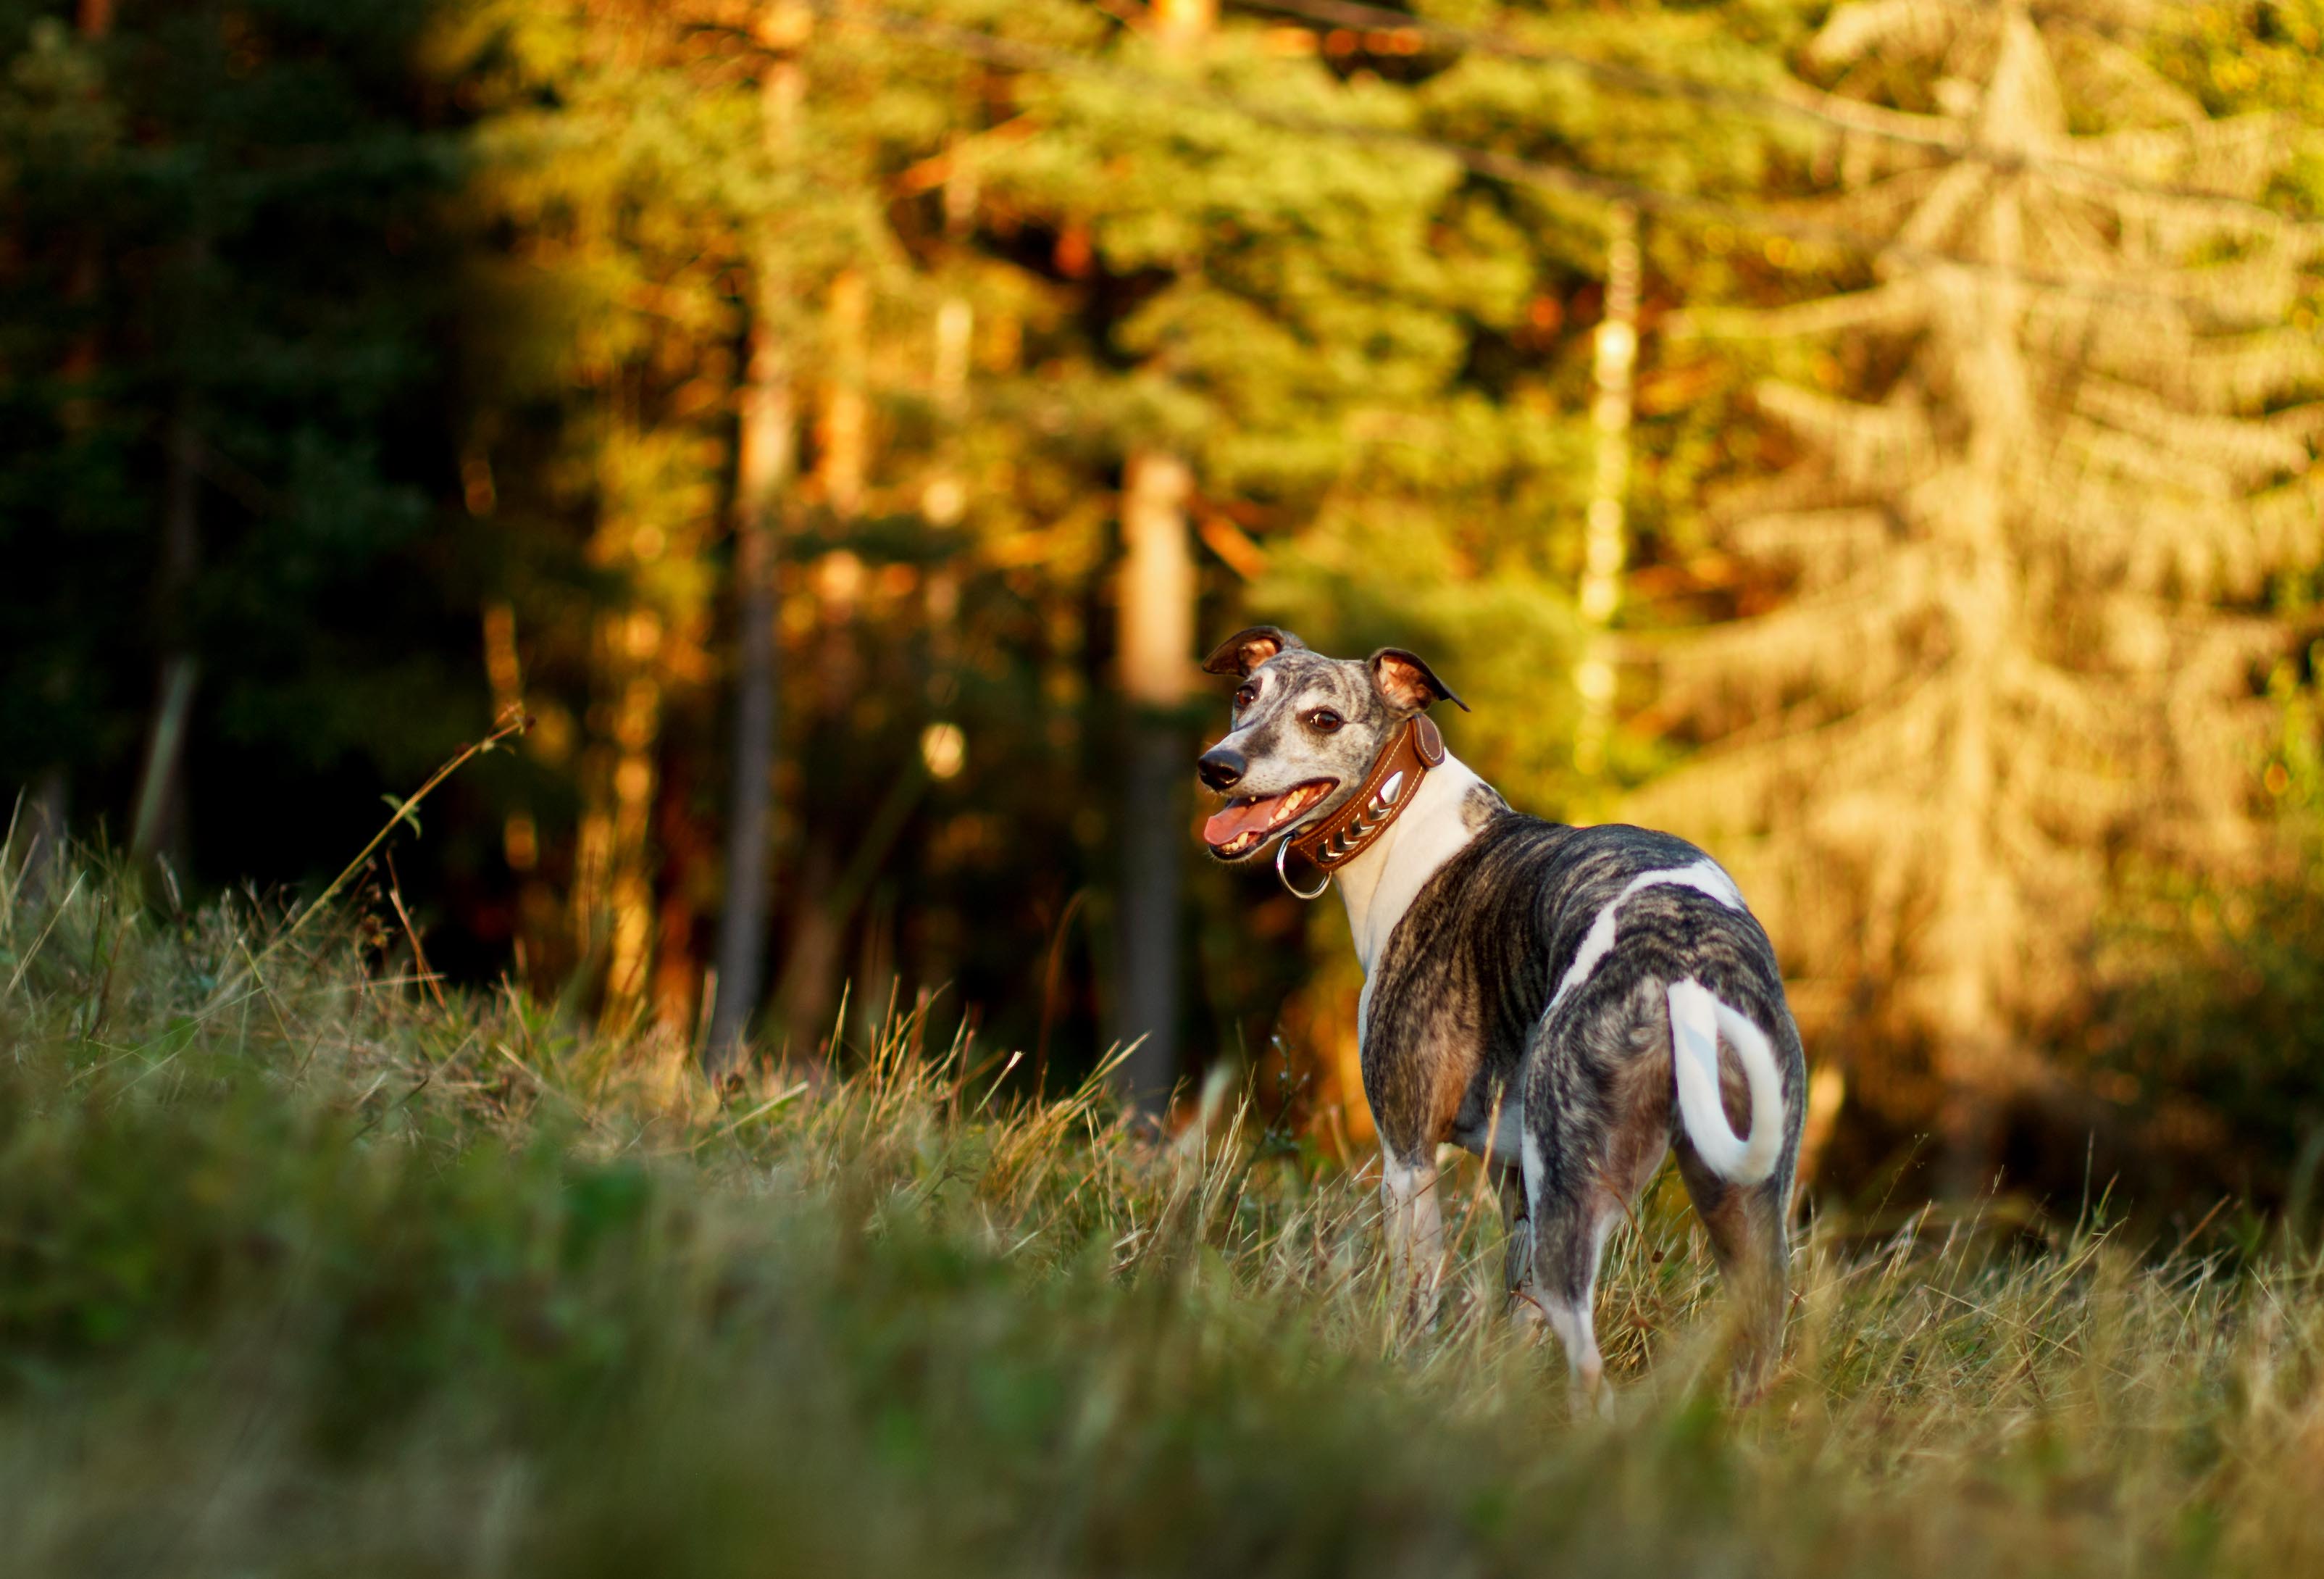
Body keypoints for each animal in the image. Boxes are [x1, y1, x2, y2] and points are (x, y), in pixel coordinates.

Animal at [1194, 626, 1805, 1402]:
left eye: (1323, 719)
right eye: (1246, 693)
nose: (1219, 767)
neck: (1402, 813)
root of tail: (1683, 968)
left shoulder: (1407, 1156)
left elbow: (1415, 1304)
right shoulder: (1512, 1180)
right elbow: (1515, 1321)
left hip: (1570, 1188)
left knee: (1591, 1370)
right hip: (1746, 1208)